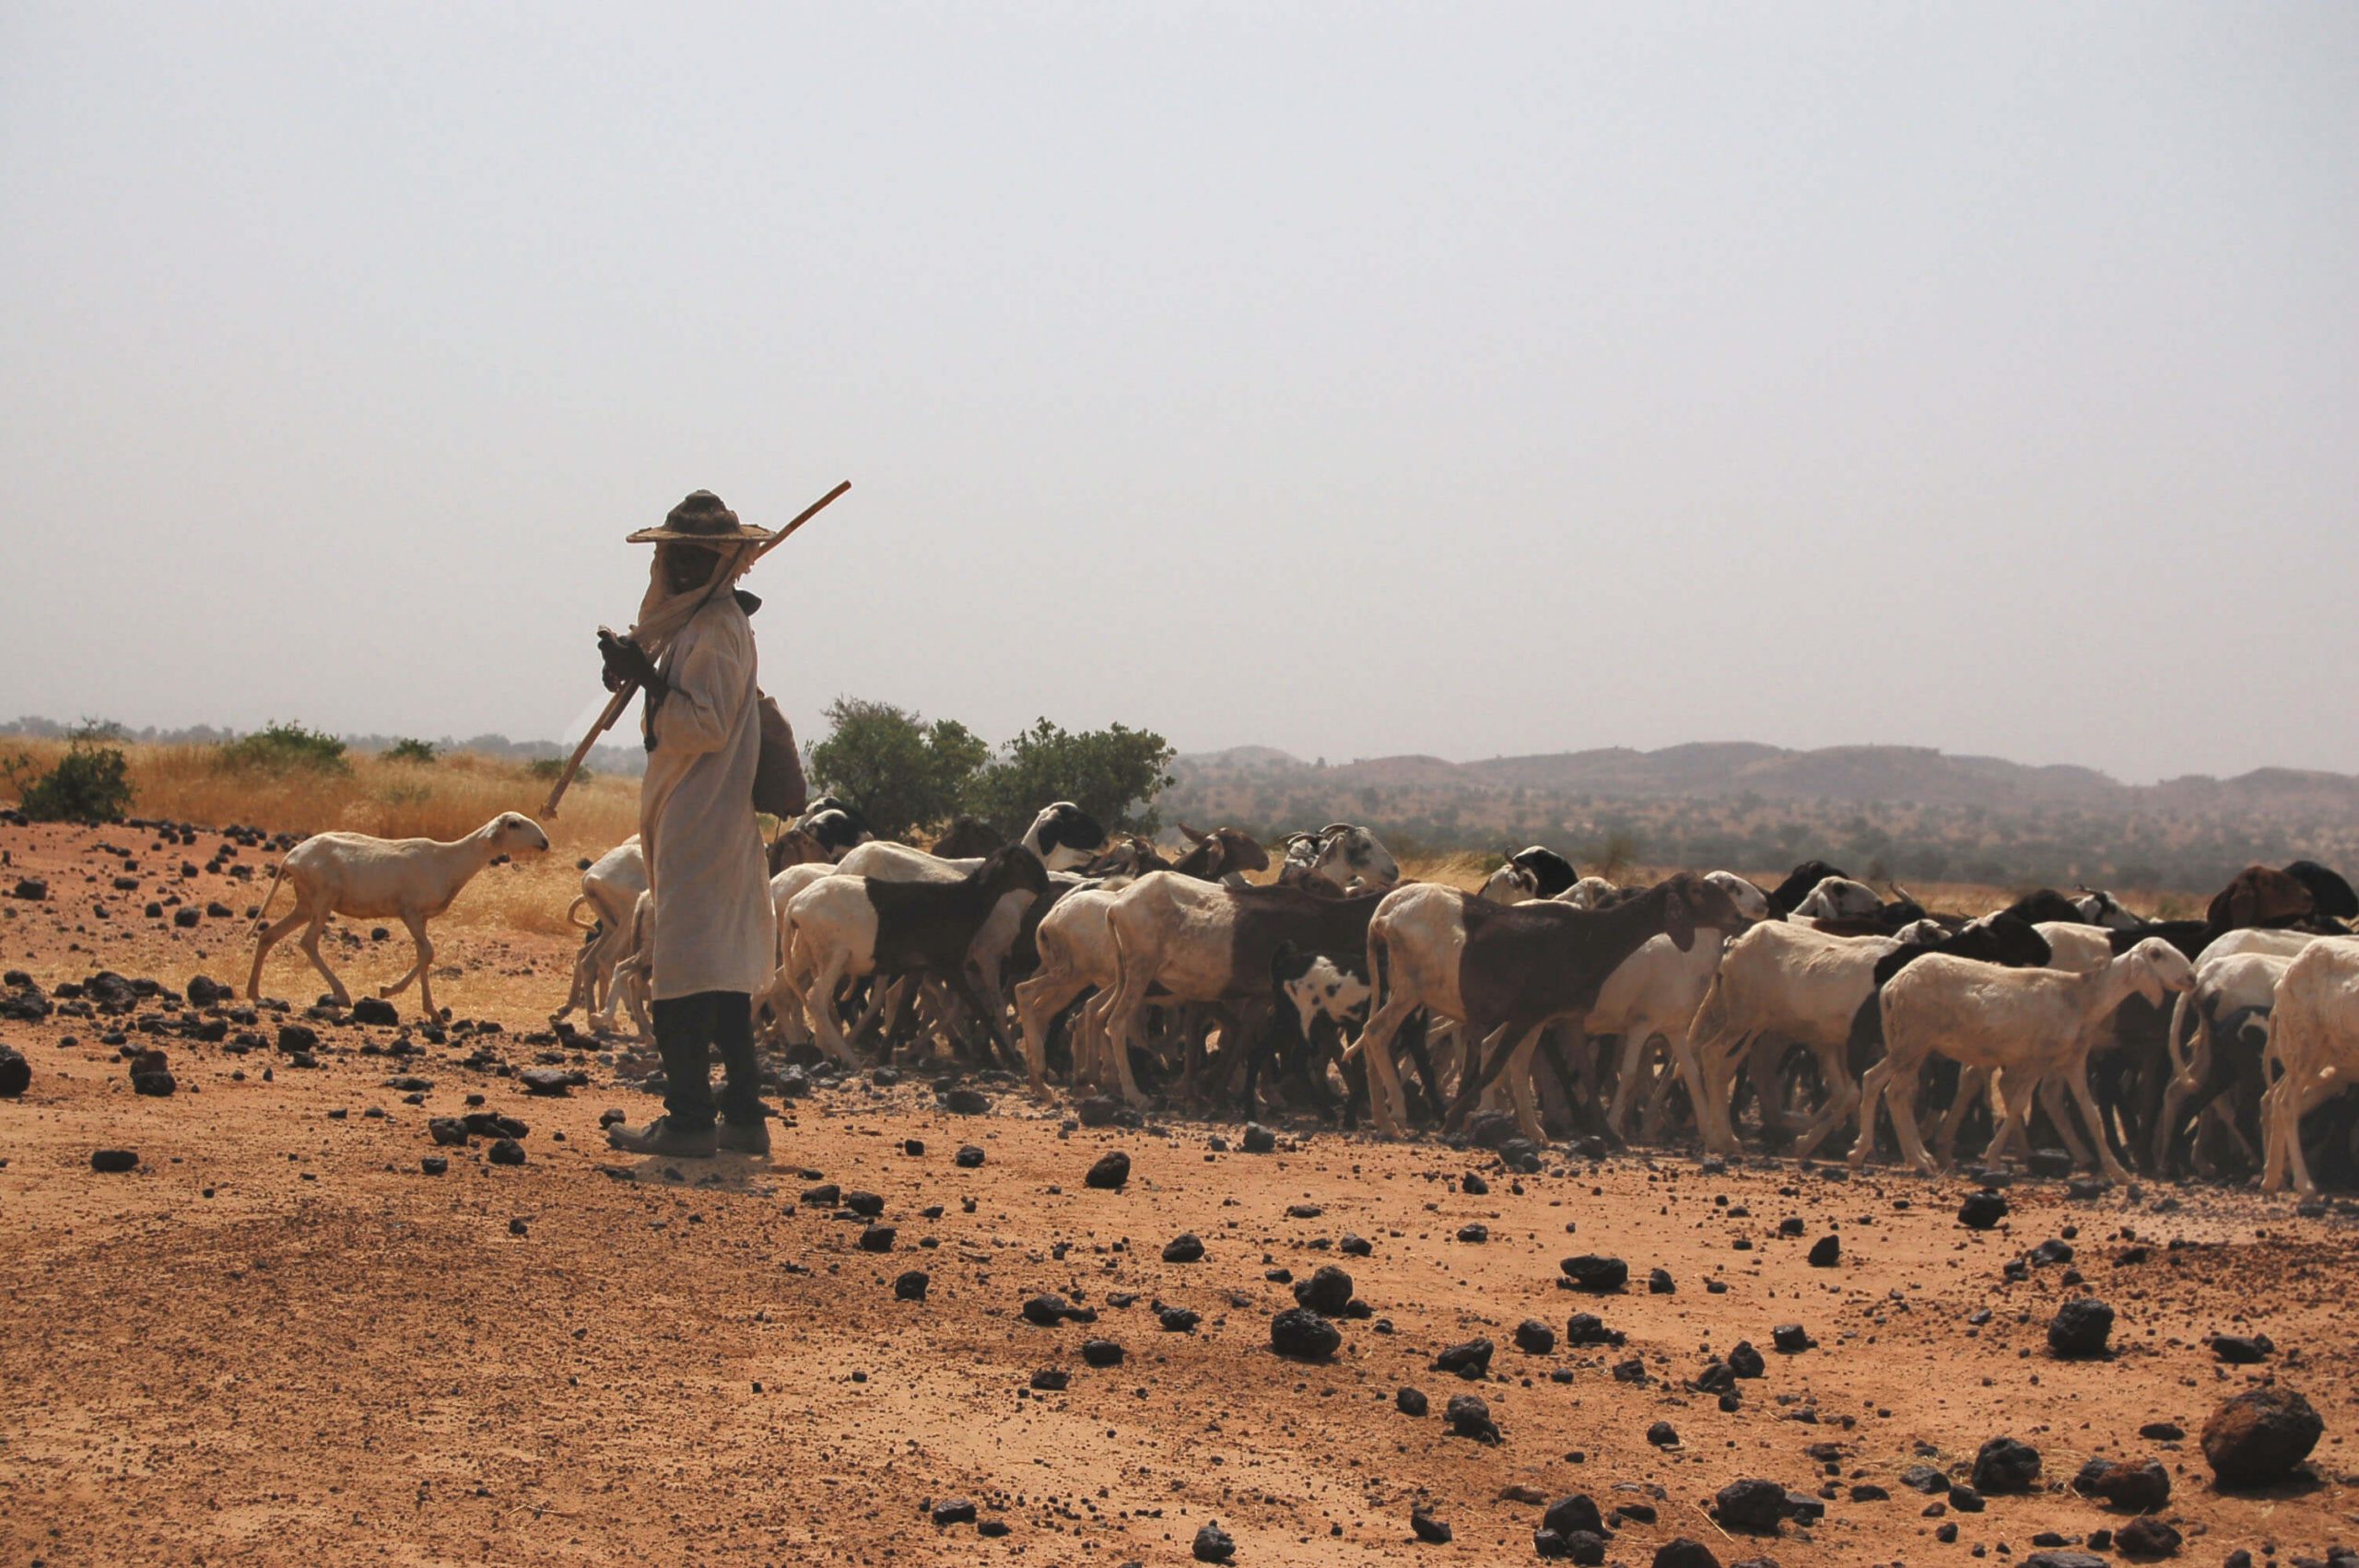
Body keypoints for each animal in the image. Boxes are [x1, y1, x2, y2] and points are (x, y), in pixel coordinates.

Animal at [242, 811, 546, 1023]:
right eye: (514, 824)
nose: (544, 842)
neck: (447, 860)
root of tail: (290, 858)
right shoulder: (409, 912)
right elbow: (428, 952)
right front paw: (388, 991)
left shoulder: (422, 918)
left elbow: (425, 954)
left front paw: (431, 1011)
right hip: (322, 900)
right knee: (308, 942)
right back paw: (342, 995)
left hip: (305, 904)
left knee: (268, 934)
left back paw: (254, 993)